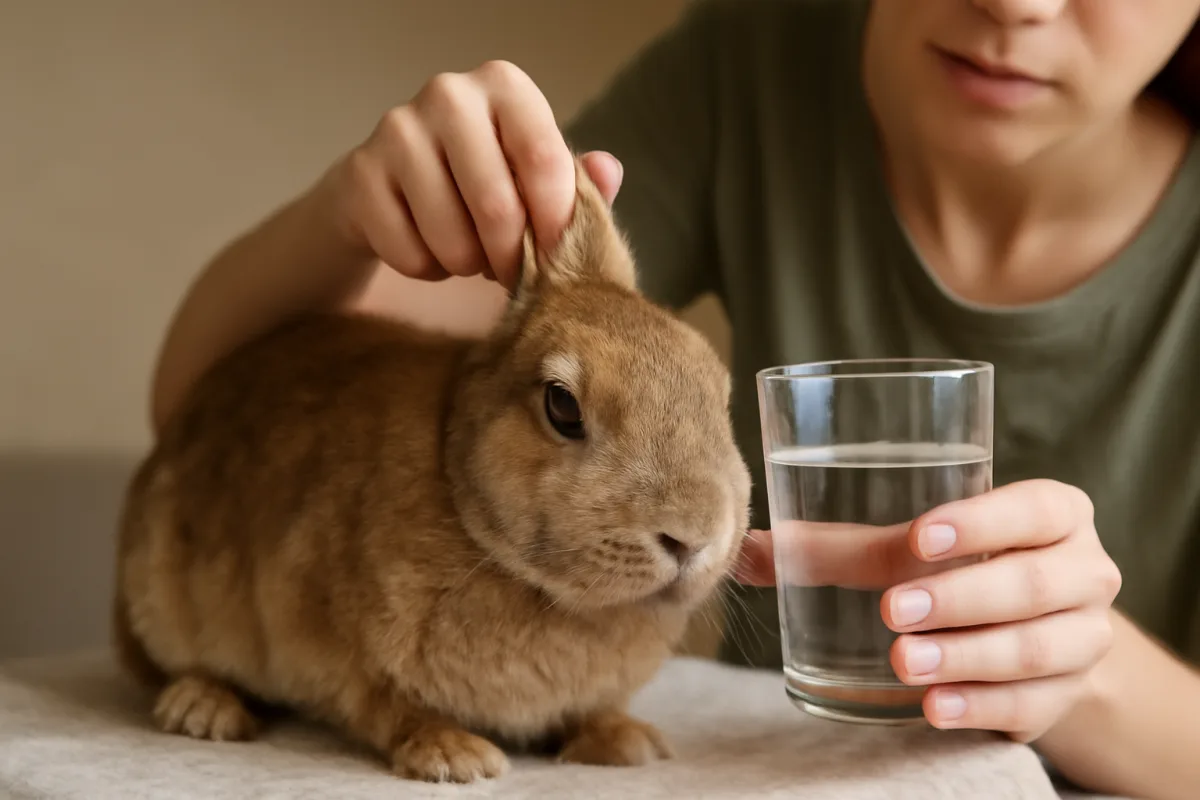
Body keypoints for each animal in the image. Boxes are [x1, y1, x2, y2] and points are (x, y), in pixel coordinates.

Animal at [111, 155, 753, 784]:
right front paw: (455, 757)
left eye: (718, 391)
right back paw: (203, 709)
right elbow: (387, 705)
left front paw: (625, 742)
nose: (693, 537)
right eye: (562, 406)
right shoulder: (333, 644)